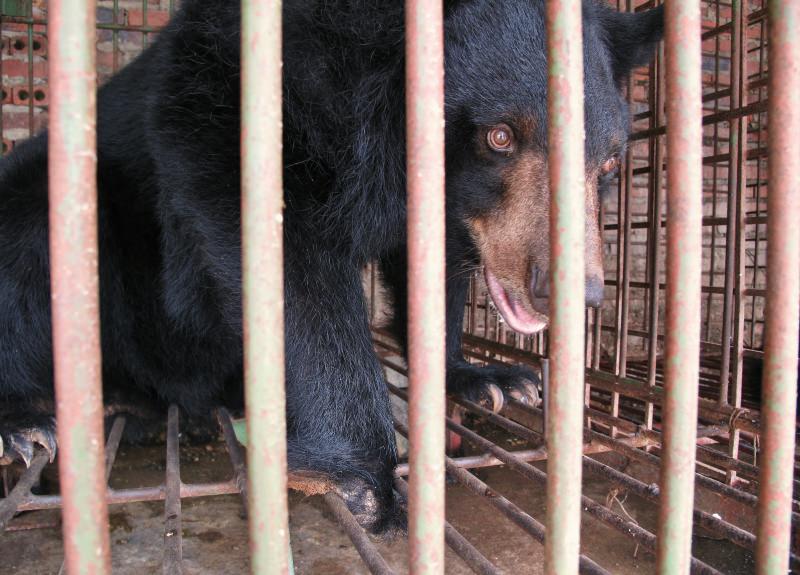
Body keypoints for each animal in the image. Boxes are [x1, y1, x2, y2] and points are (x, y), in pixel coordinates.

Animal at [0, 0, 664, 532]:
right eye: (500, 137)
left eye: (609, 163)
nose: (570, 294)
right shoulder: (228, 89)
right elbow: (282, 252)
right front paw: (365, 479)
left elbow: (432, 269)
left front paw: (487, 377)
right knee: (29, 244)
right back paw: (31, 421)